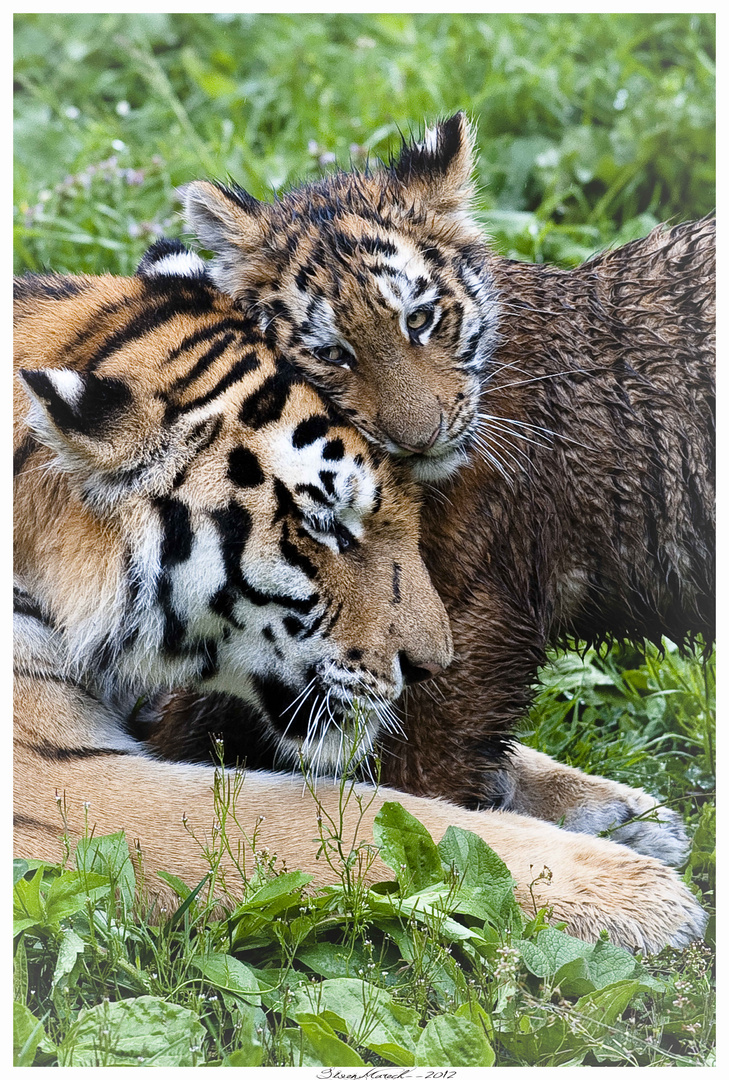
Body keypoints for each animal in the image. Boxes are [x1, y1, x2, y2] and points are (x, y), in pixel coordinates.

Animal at [12, 248, 708, 950]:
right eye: (326, 525)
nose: (433, 666)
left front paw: (633, 814)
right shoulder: (59, 786)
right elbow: (352, 817)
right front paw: (634, 887)